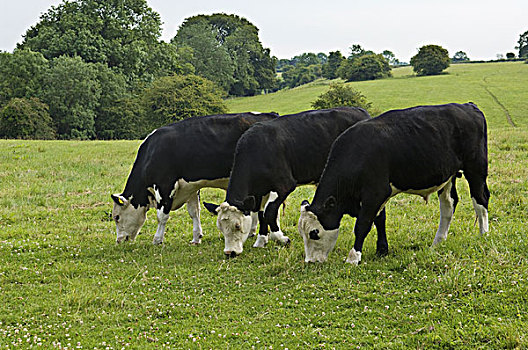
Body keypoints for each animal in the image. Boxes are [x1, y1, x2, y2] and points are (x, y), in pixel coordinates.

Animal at [109, 113, 278, 245]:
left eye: (117, 217)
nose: (119, 240)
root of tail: (270, 115)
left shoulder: (165, 185)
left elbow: (162, 216)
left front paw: (157, 240)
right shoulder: (190, 187)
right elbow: (194, 212)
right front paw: (196, 237)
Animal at [213, 106, 372, 258]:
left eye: (237, 225)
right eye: (220, 227)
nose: (230, 252)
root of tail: (358, 110)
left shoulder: (284, 185)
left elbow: (269, 212)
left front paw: (282, 239)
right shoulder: (259, 192)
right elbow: (261, 214)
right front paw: (261, 241)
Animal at [300, 102, 488, 264]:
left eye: (314, 233)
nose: (310, 261)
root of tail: (467, 106)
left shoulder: (376, 192)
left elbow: (363, 224)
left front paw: (353, 258)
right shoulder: (377, 196)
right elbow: (379, 220)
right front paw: (382, 250)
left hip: (476, 167)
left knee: (481, 199)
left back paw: (483, 235)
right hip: (448, 176)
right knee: (449, 205)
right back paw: (437, 242)